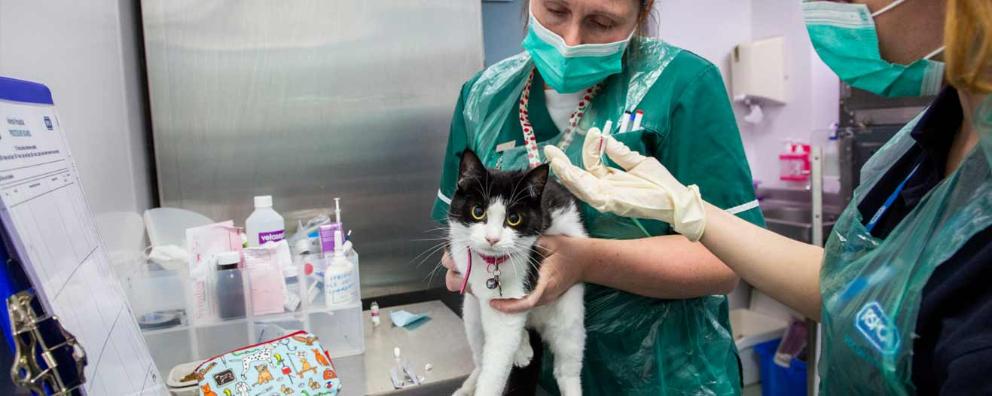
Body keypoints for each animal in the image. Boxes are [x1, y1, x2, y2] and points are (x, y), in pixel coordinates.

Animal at [452, 150, 588, 394]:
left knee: (567, 368)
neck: (494, 264)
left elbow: (498, 361)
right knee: (480, 355)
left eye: (514, 218)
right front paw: (520, 350)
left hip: (569, 313)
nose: (492, 239)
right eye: (478, 212)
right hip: (471, 313)